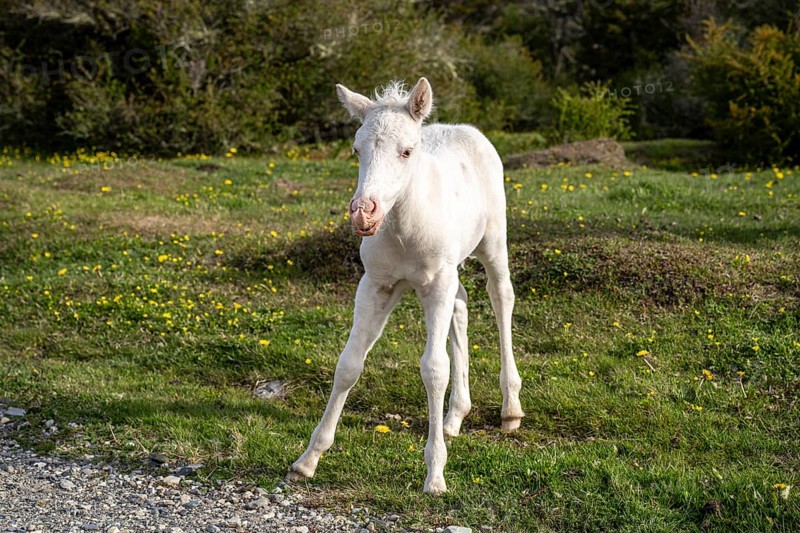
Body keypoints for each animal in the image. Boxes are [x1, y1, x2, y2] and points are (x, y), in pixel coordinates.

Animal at [287, 77, 524, 494]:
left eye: (407, 151)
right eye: (356, 150)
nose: (364, 212)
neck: (403, 227)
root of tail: (465, 130)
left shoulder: (437, 283)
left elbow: (434, 369)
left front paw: (435, 474)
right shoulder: (376, 284)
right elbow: (349, 364)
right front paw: (308, 459)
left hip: (492, 241)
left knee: (501, 297)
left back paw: (510, 409)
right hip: (450, 271)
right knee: (461, 304)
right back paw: (454, 416)